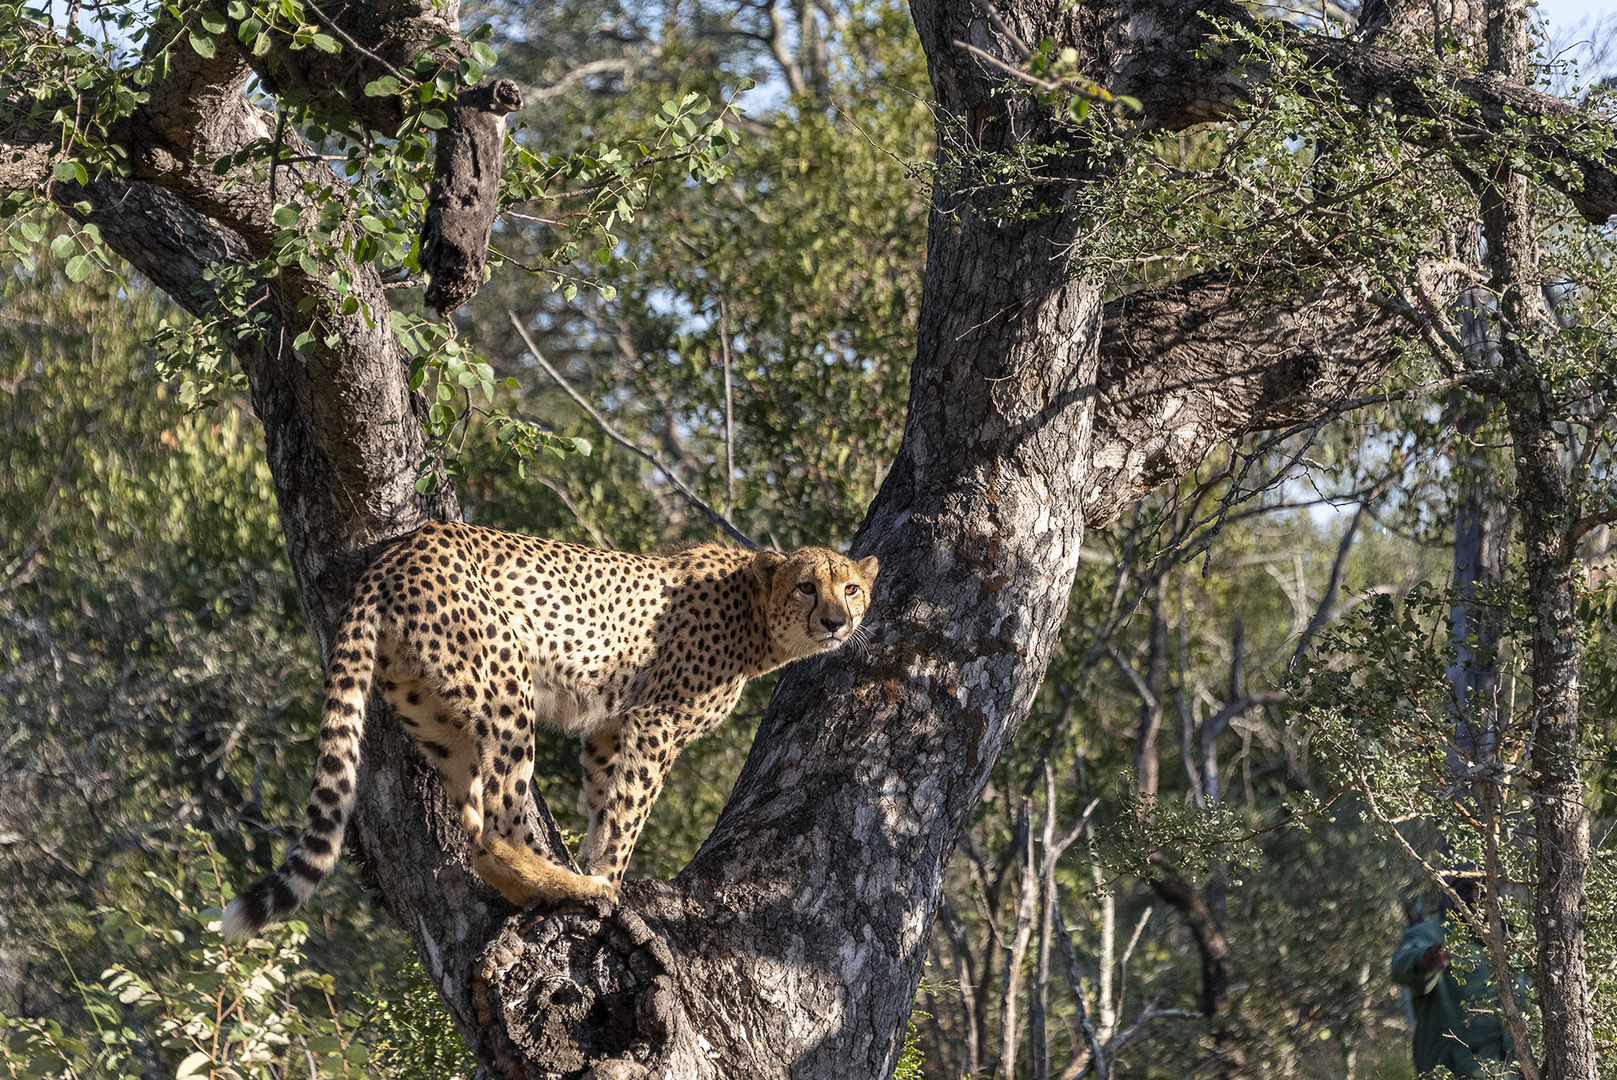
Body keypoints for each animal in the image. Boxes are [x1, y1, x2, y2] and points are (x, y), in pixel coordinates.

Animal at [221, 520, 879, 937]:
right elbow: (629, 813)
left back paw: (534, 882)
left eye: (851, 587)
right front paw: (606, 881)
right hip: (507, 684)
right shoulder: (656, 721)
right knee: (502, 810)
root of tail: (400, 551)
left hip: (434, 714)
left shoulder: (610, 726)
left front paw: (593, 862)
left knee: (476, 829)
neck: (756, 613)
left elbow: (605, 802)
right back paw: (565, 888)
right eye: (806, 587)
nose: (836, 620)